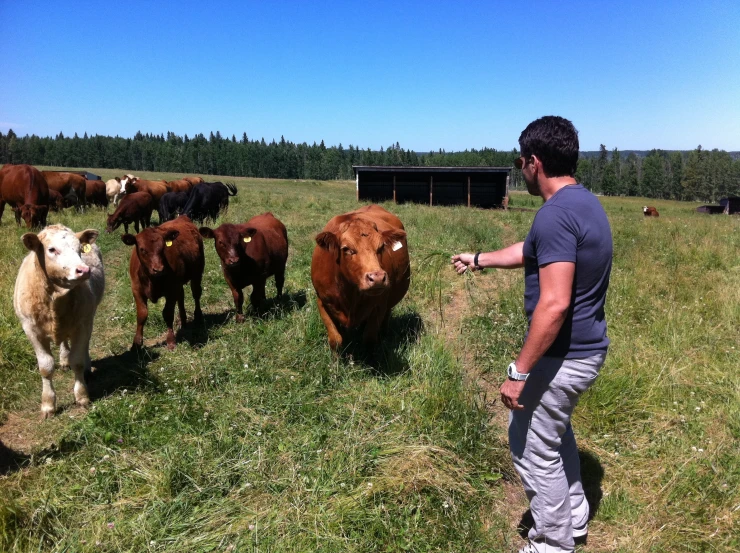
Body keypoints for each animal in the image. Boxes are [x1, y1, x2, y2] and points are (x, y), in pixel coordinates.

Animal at [13, 222, 105, 416]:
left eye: (79, 249)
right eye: (51, 249)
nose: (83, 270)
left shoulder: (82, 324)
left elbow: (77, 361)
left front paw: (82, 396)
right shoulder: (31, 330)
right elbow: (46, 367)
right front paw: (48, 404)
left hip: (89, 317)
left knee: (84, 345)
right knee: (63, 341)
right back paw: (63, 359)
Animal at [121, 216, 204, 350]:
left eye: (163, 248)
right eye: (142, 249)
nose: (158, 269)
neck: (151, 279)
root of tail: (182, 217)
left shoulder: (171, 290)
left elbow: (168, 313)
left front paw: (170, 341)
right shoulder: (136, 290)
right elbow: (142, 315)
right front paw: (136, 344)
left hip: (197, 272)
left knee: (196, 294)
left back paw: (198, 316)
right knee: (181, 297)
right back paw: (183, 321)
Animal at [308, 203, 408, 350]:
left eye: (381, 247)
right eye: (346, 249)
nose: (377, 278)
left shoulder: (379, 305)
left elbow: (369, 339)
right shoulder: (322, 301)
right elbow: (335, 339)